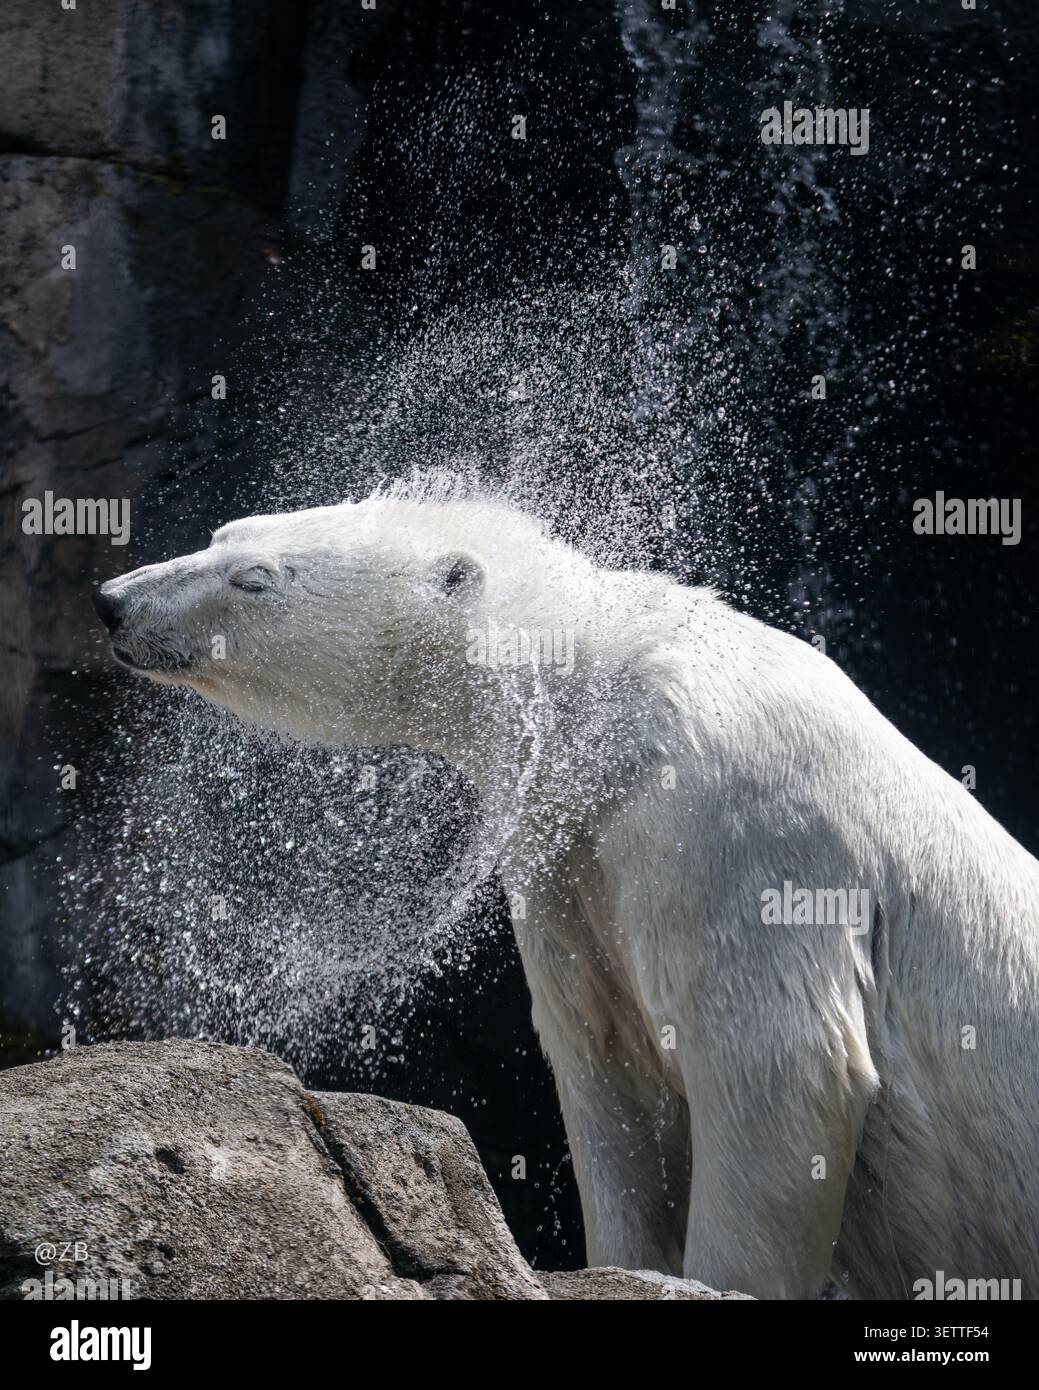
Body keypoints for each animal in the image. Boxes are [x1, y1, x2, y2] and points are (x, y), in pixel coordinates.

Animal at [95, 477, 1039, 1299]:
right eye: (224, 532)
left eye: (253, 578)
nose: (113, 600)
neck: (601, 694)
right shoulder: (566, 859)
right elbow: (604, 1066)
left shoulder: (740, 828)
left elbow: (780, 1076)